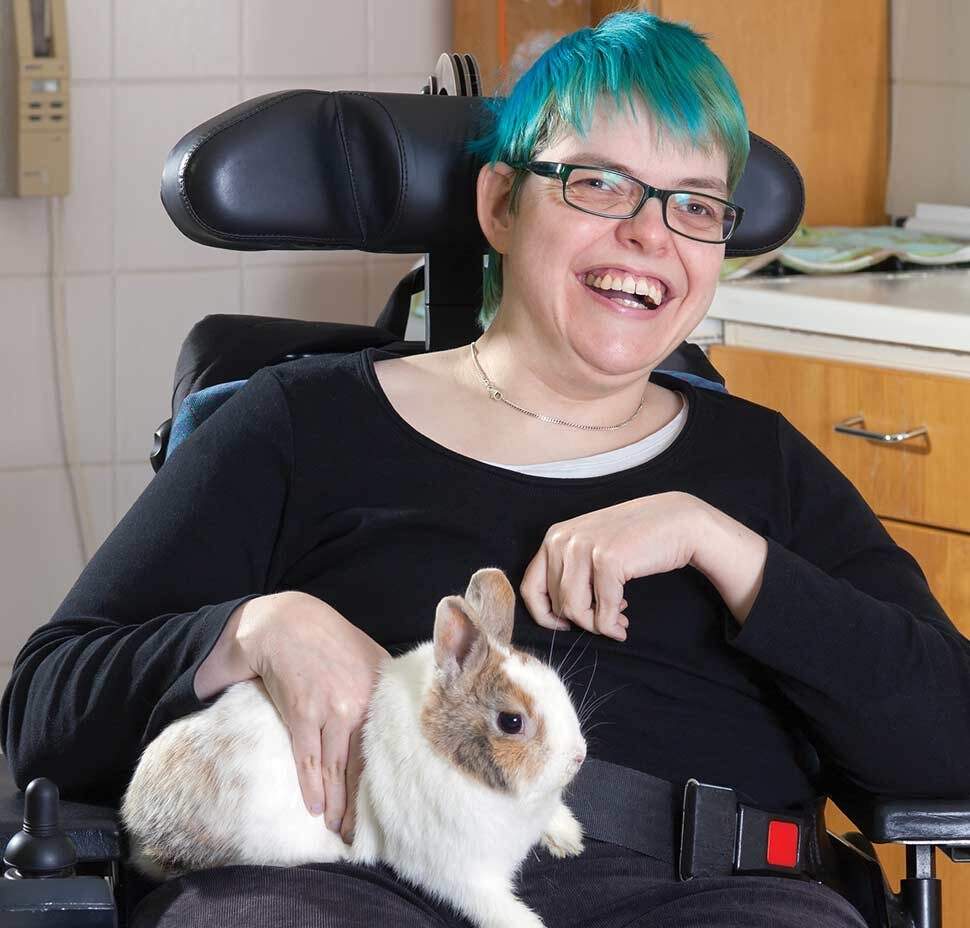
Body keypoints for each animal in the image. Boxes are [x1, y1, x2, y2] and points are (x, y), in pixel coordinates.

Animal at [121, 564, 588, 928]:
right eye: (512, 721)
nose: (578, 757)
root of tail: (137, 819)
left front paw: (569, 839)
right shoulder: (458, 873)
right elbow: (496, 909)